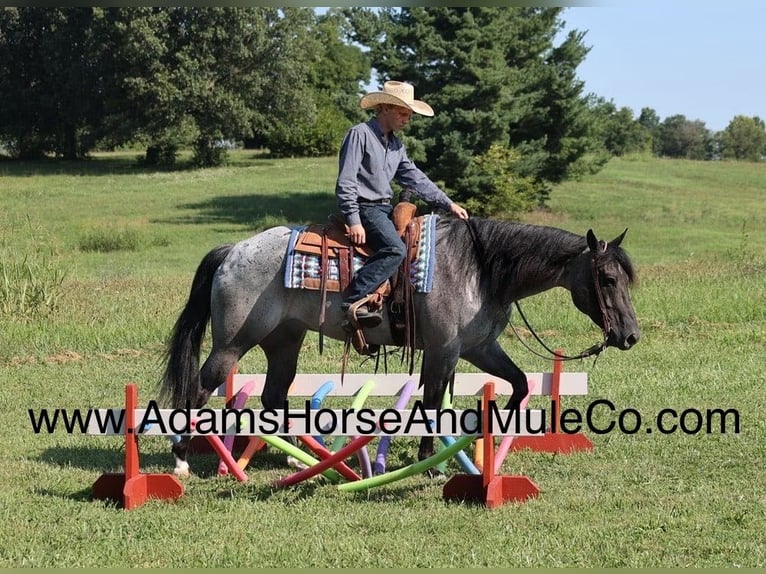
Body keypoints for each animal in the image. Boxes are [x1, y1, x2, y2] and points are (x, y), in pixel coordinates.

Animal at [160, 218, 640, 480]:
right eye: (607, 279)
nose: (631, 336)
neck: (479, 269)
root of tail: (233, 251)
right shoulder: (444, 349)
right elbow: (432, 402)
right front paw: (430, 460)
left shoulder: (479, 347)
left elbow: (518, 385)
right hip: (233, 342)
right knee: (200, 389)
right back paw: (182, 459)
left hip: (284, 341)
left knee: (274, 396)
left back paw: (303, 457)